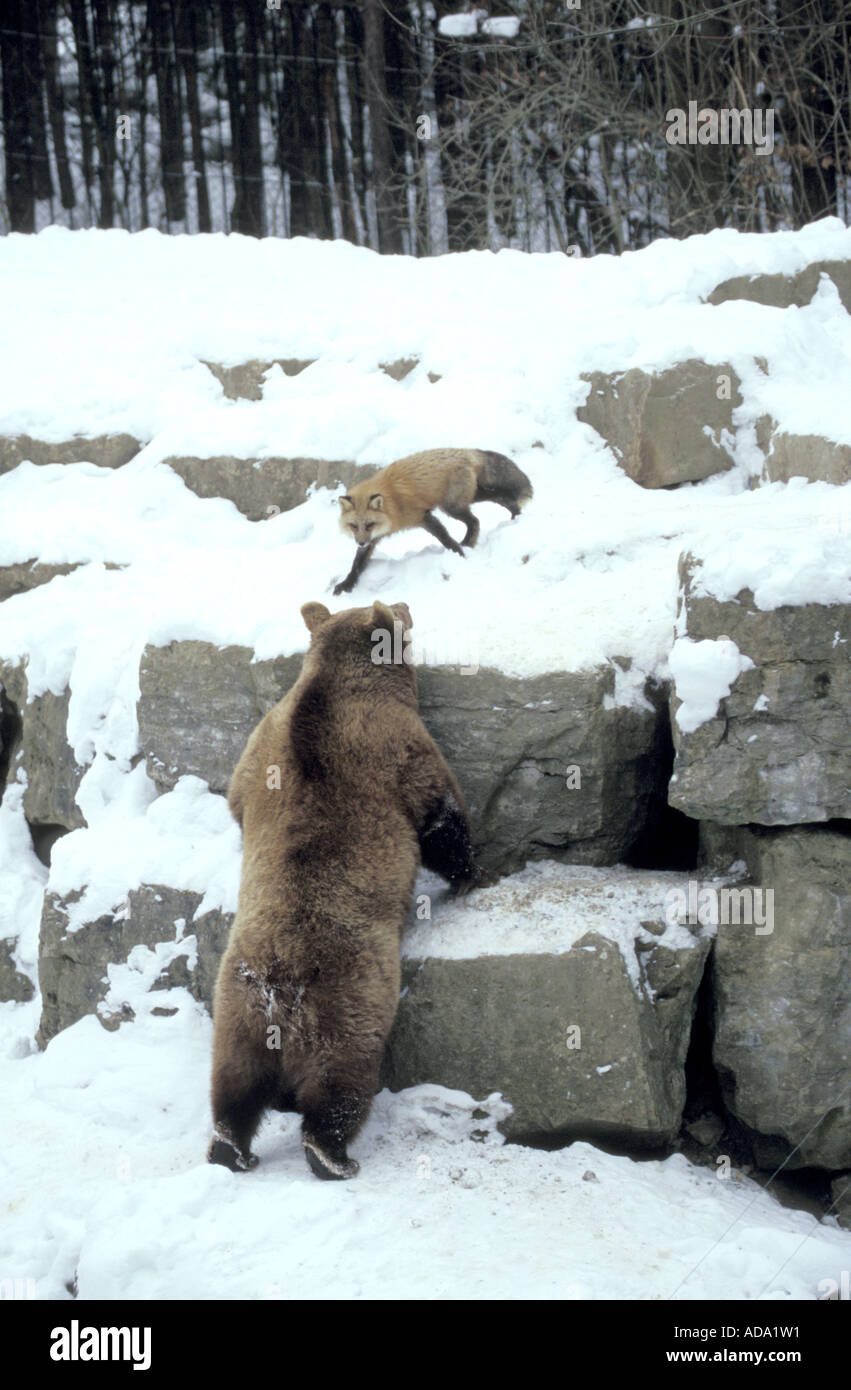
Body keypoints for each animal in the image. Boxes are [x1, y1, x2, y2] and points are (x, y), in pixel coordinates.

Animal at [207, 598, 475, 1180]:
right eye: (398, 611)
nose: (407, 604)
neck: (332, 685)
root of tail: (277, 989)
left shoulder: (260, 745)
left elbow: (236, 796)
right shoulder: (397, 743)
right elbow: (440, 815)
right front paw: (470, 873)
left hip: (235, 1008)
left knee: (233, 1084)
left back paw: (230, 1149)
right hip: (347, 998)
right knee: (341, 1081)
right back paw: (332, 1156)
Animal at [332, 447, 533, 596]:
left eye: (369, 524)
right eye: (354, 526)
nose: (360, 542)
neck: (392, 504)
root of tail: (465, 451)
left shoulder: (423, 516)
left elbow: (445, 538)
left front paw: (459, 554)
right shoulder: (373, 538)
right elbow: (357, 564)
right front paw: (346, 584)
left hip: (452, 506)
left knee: (475, 520)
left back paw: (472, 541)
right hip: (471, 497)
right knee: (499, 499)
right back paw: (515, 515)